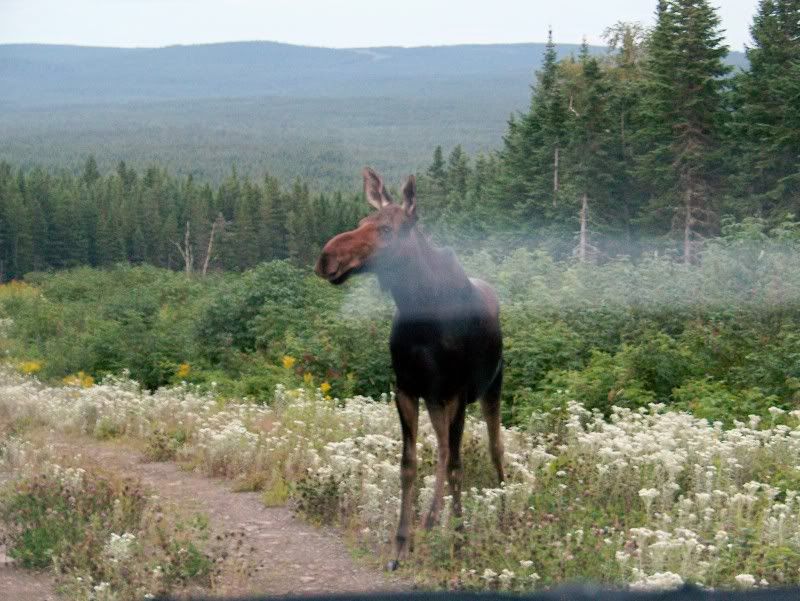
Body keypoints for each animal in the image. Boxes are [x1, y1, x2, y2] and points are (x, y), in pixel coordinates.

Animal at [316, 166, 504, 568]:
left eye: (387, 230)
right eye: (362, 221)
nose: (326, 257)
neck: (422, 309)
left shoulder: (456, 391)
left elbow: (454, 464)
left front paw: (451, 535)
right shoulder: (406, 388)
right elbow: (409, 464)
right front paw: (403, 542)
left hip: (492, 386)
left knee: (494, 449)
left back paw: (501, 515)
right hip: (436, 399)